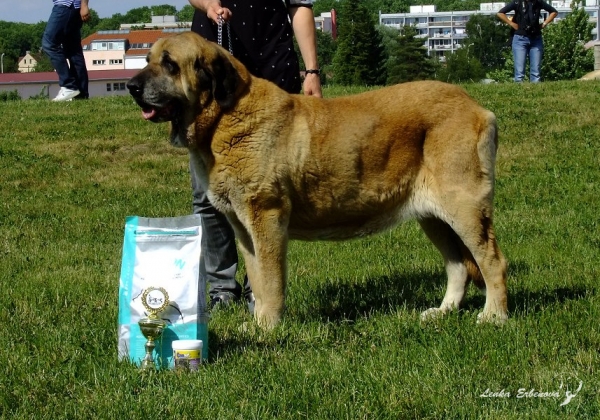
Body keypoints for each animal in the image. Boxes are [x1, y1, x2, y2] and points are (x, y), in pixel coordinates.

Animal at [129, 32, 508, 328]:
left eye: (170, 64)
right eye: (148, 59)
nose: (131, 85)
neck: (223, 117)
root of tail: (477, 107)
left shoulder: (266, 218)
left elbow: (270, 278)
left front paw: (269, 327)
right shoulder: (244, 229)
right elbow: (256, 278)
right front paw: (258, 324)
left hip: (464, 208)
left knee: (491, 260)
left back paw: (494, 315)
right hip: (433, 217)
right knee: (458, 265)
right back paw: (443, 312)